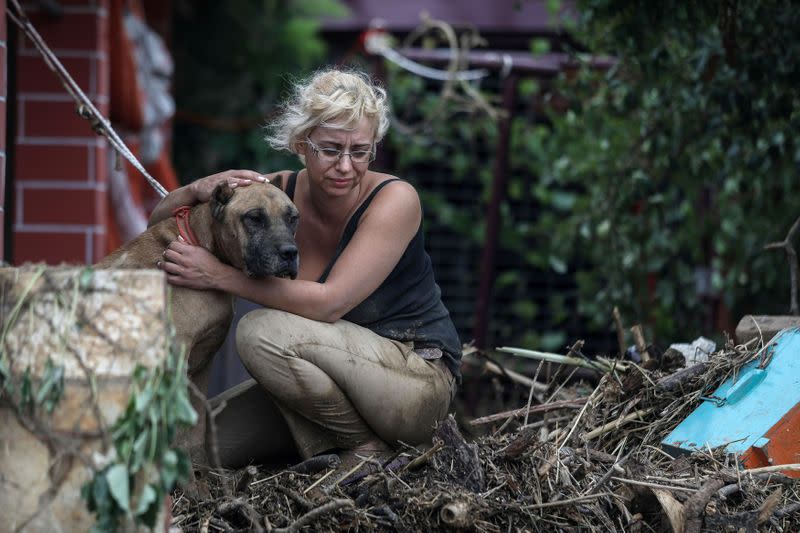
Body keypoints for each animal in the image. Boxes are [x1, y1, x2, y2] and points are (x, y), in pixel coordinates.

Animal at [97, 183, 296, 466]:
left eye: (293, 218)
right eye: (254, 218)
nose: (290, 253)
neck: (202, 244)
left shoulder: (201, 365)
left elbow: (194, 432)